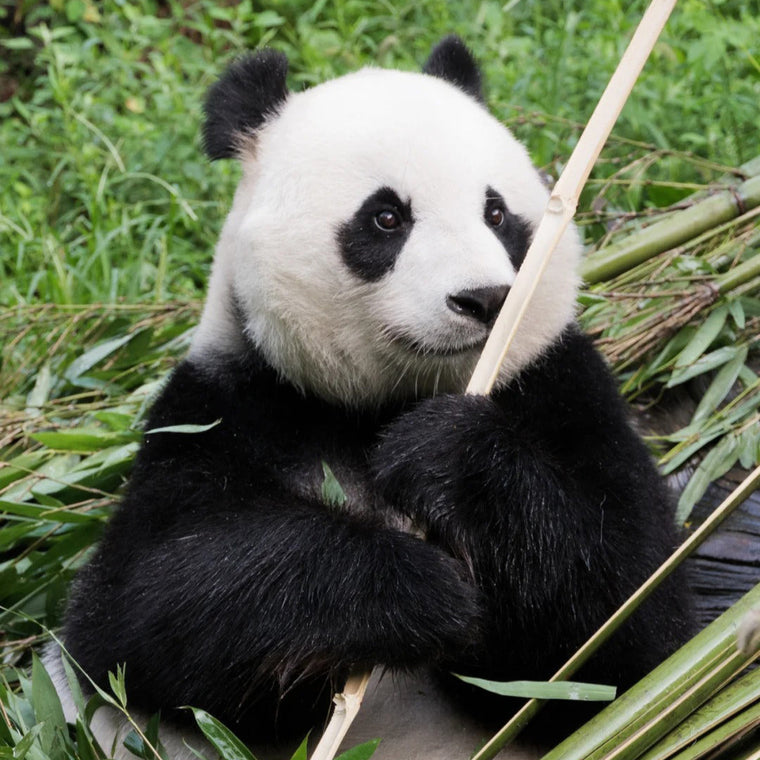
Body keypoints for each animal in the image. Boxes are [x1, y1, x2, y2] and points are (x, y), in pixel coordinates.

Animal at [45, 36, 693, 760]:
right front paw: (413, 588)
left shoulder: (559, 384)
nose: (484, 300)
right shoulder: (225, 406)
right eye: (387, 217)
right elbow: (136, 610)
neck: (382, 401)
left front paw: (447, 457)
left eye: (497, 213)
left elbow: (632, 626)